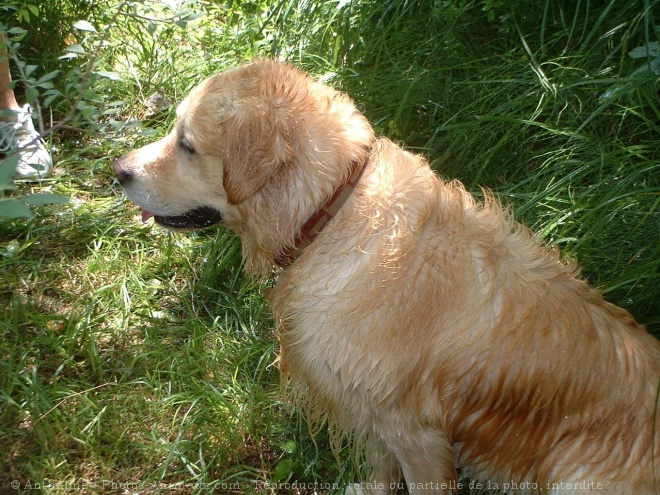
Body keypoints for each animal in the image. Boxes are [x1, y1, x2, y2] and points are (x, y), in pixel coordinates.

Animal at [116, 60, 660, 494]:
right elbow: (379, 468)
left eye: (187, 145)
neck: (330, 213)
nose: (118, 170)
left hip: (574, 473)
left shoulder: (418, 434)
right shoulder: (366, 410)